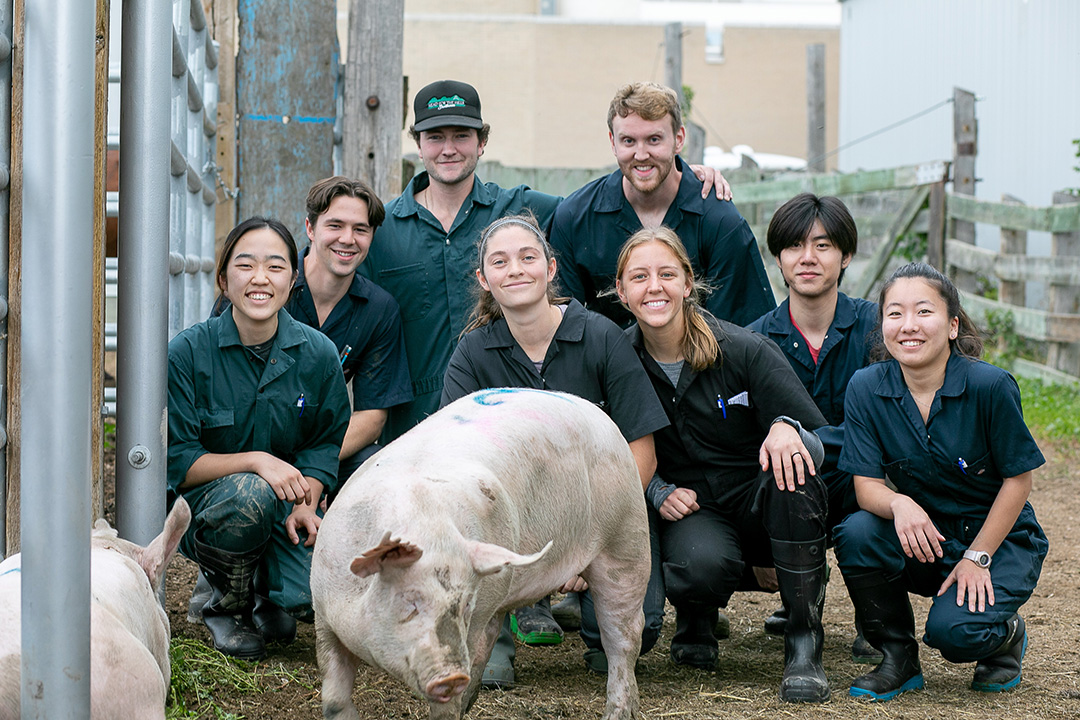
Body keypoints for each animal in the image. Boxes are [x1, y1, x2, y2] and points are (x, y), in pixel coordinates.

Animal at [313, 388, 648, 720]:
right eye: (409, 600)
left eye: (465, 605)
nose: (451, 677)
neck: (425, 522)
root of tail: (601, 417)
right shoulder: (324, 615)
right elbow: (333, 697)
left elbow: (445, 709)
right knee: (489, 637)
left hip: (627, 539)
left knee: (624, 635)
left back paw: (617, 711)